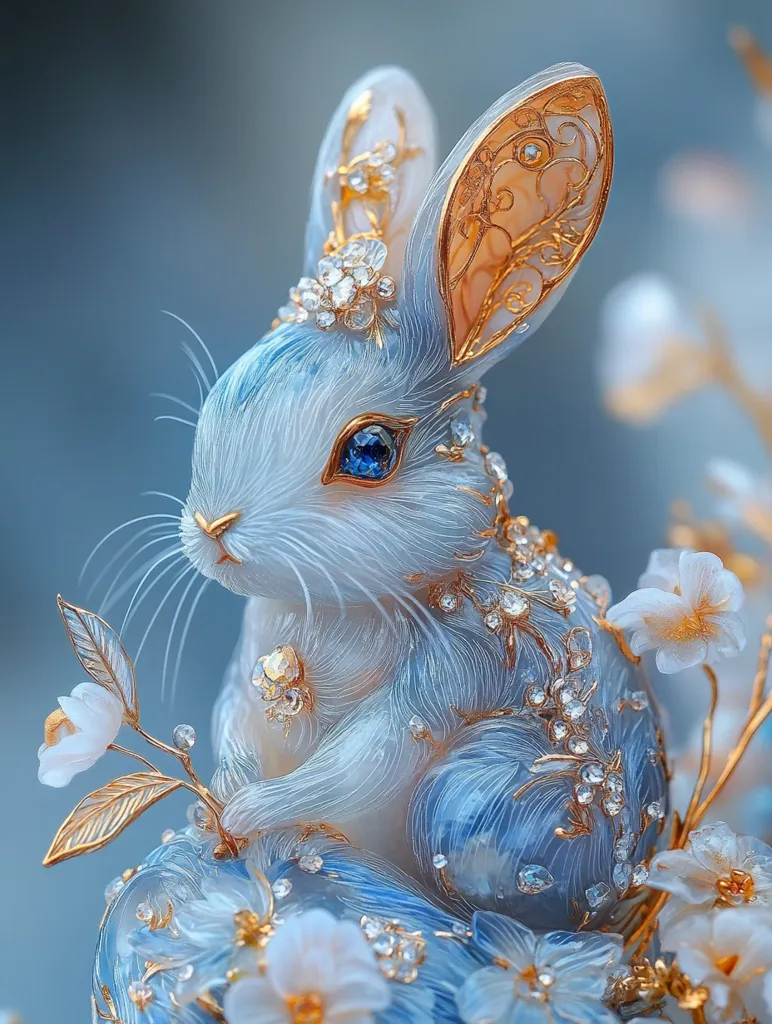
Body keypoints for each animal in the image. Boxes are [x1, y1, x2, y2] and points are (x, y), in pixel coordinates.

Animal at [178, 63, 669, 931]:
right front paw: (224, 799)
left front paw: (247, 812)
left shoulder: (448, 673)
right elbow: (234, 711)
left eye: (370, 452)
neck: (339, 604)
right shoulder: (248, 659)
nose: (212, 525)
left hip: (479, 799)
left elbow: (360, 761)